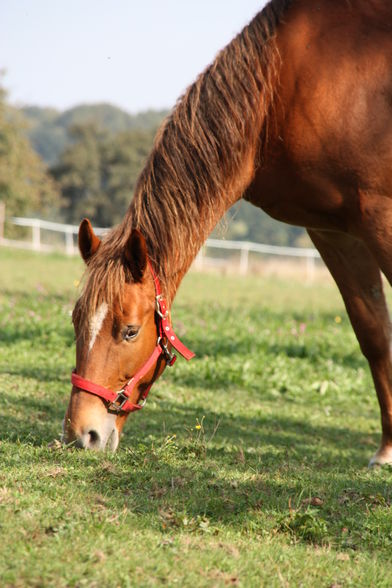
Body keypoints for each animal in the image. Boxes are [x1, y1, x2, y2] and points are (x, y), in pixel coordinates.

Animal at [64, 0, 392, 466]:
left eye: (129, 331)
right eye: (76, 320)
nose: (81, 434)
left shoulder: (380, 216)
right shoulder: (334, 230)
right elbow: (374, 335)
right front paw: (387, 448)